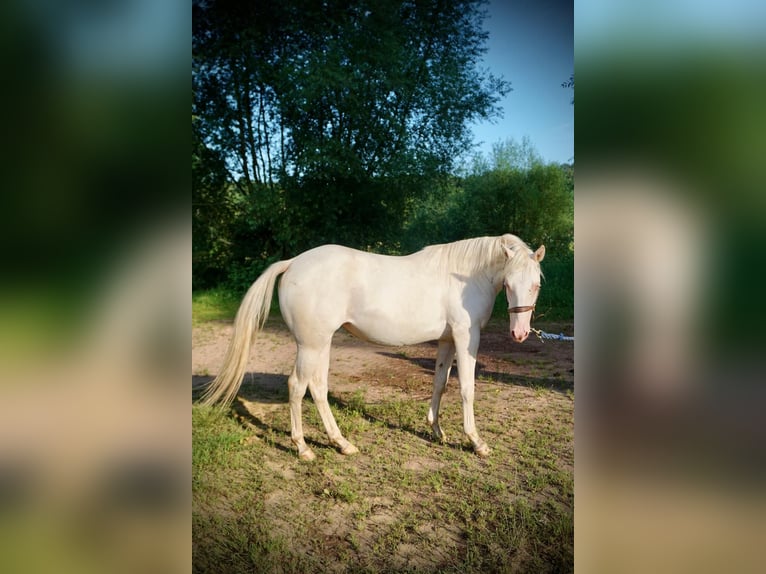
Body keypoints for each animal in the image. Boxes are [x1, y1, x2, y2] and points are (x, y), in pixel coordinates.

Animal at [201, 232, 544, 462]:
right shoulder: (465, 337)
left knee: (318, 387)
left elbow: (440, 384)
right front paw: (476, 442)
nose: (520, 333)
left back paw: (341, 443)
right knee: (297, 386)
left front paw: (437, 432)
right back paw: (304, 448)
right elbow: (466, 389)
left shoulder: (447, 340)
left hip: (321, 344)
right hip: (310, 345)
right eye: (509, 284)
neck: (465, 279)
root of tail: (293, 263)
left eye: (536, 284)